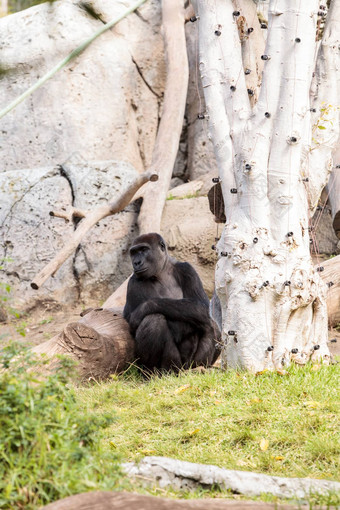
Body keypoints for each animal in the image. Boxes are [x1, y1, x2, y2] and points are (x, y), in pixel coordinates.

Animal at [123, 233, 220, 372]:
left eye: (143, 250)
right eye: (134, 252)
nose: (136, 262)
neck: (161, 271)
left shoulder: (187, 269)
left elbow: (202, 306)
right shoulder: (134, 283)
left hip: (189, 365)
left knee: (211, 322)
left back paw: (200, 367)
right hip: (172, 367)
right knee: (154, 320)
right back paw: (155, 372)